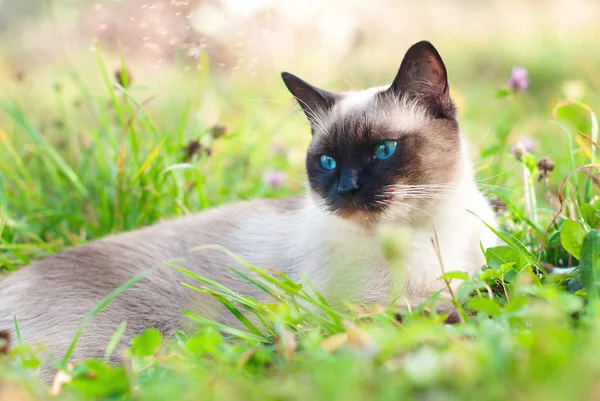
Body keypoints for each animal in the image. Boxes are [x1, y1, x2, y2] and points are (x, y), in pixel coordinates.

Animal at [0, 40, 496, 378]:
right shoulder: (351, 315)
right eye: (328, 161)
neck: (423, 235)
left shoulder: (477, 279)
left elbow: (487, 293)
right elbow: (439, 315)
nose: (346, 189)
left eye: (383, 150)